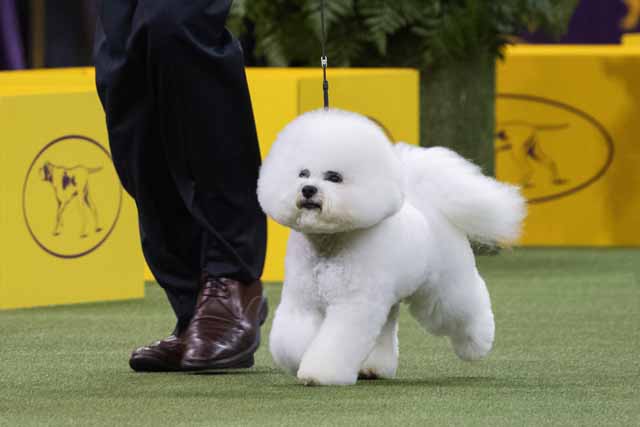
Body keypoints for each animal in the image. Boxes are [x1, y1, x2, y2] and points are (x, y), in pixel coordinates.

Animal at [255, 108, 524, 386]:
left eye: (334, 177)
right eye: (303, 173)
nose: (308, 190)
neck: (328, 244)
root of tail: (428, 205)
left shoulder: (353, 304)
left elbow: (336, 343)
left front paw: (319, 373)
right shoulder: (303, 300)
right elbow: (291, 339)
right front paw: (299, 358)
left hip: (443, 287)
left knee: (464, 307)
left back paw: (477, 344)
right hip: (389, 298)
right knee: (386, 328)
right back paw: (373, 368)